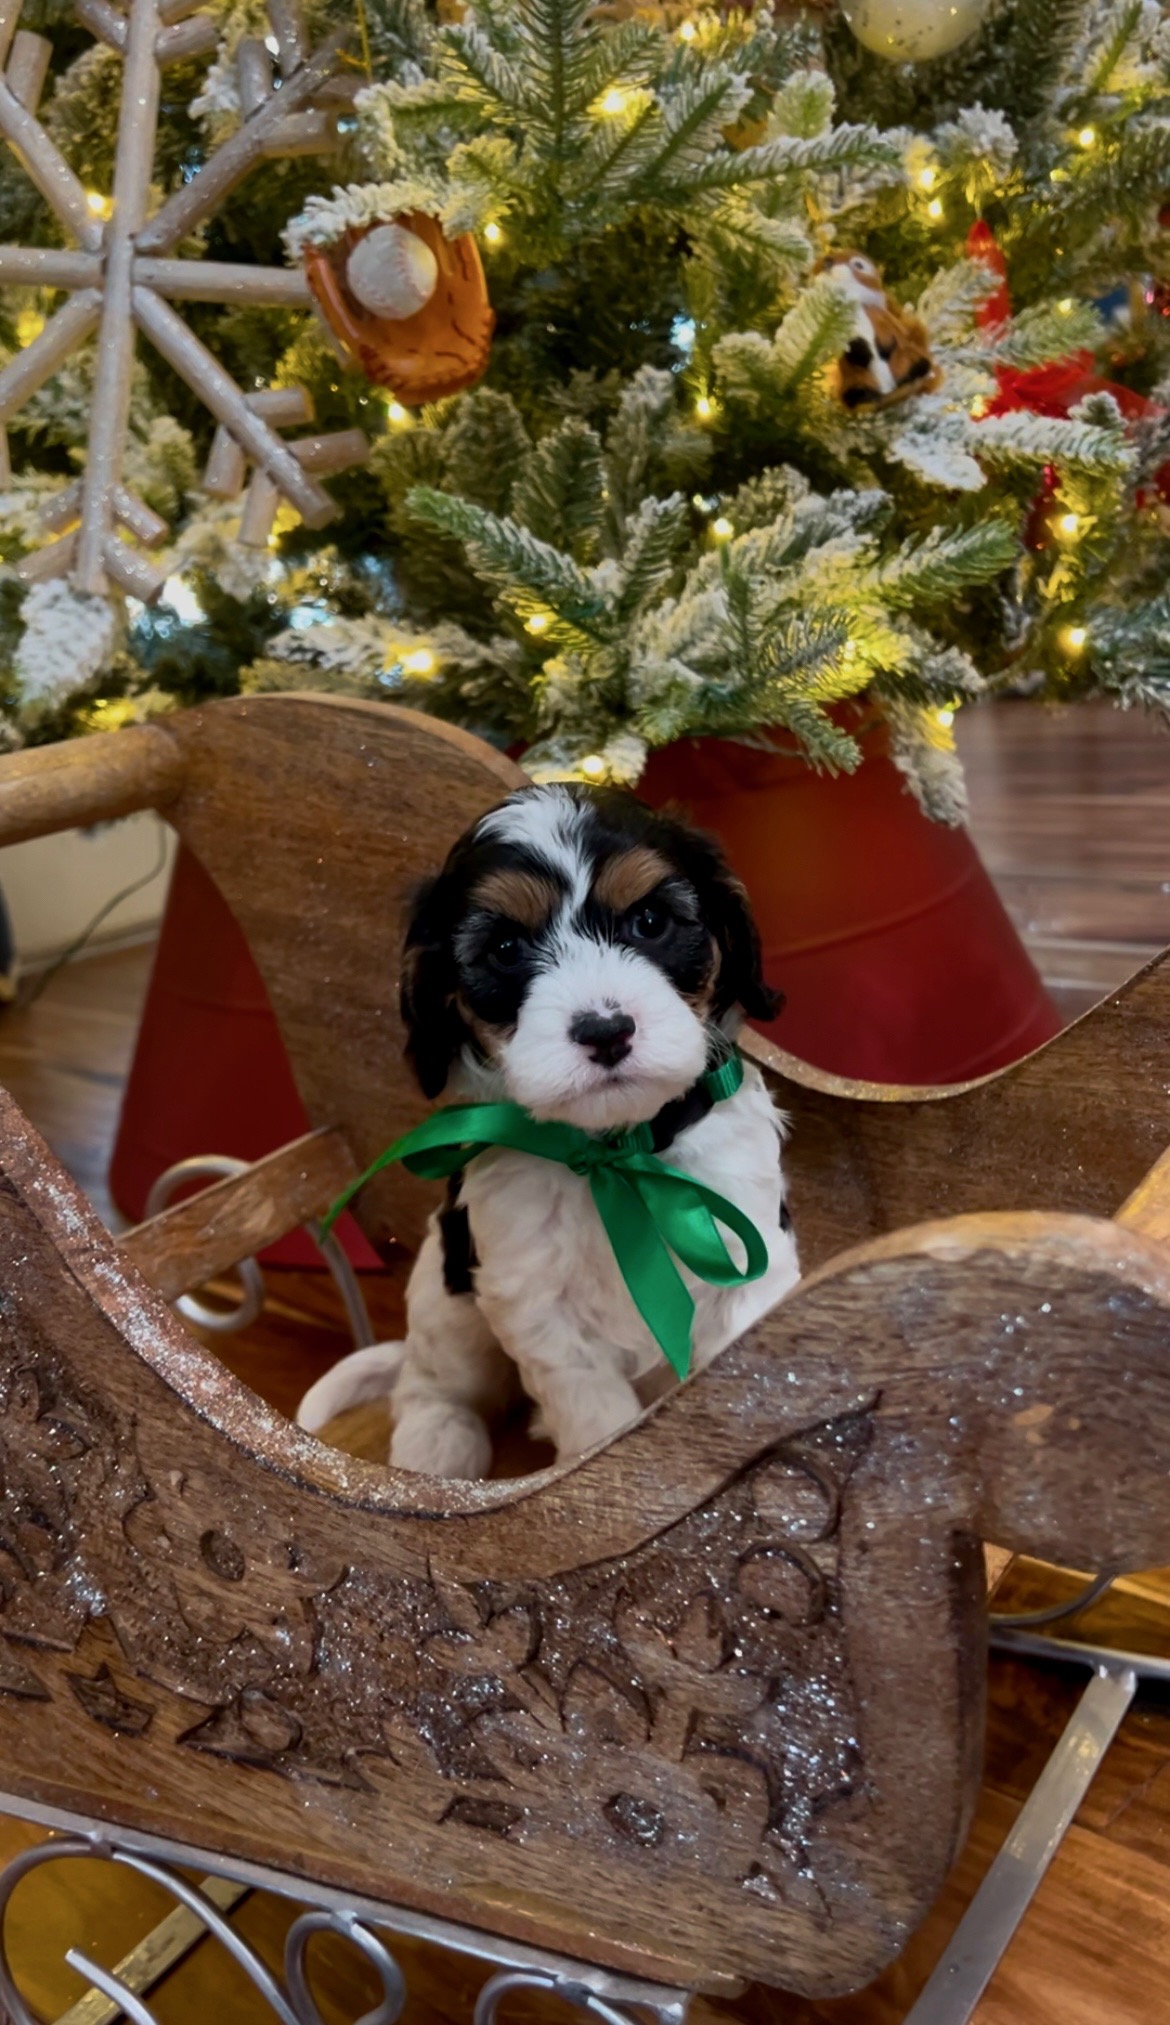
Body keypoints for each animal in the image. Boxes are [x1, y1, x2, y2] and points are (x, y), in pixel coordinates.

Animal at [295, 781, 797, 1482]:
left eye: (650, 922)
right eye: (506, 951)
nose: (605, 1030)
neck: (616, 1152)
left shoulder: (746, 1255)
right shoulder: (539, 1307)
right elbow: (596, 1419)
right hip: (449, 1300)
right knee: (429, 1382)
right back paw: (437, 1443)